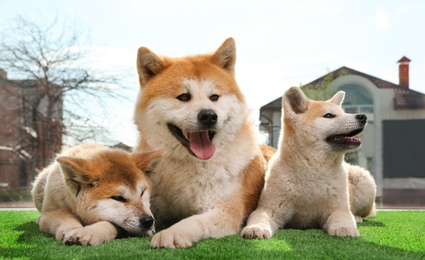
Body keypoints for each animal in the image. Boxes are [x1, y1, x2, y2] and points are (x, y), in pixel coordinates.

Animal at [30, 144, 163, 246]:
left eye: (142, 192)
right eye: (118, 198)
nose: (148, 221)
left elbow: (108, 223)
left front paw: (88, 232)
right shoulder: (51, 211)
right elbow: (63, 215)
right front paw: (72, 228)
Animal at [134, 37, 266, 248]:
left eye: (214, 97)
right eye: (183, 96)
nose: (209, 115)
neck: (189, 164)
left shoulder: (222, 210)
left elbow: (192, 220)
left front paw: (171, 233)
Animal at [240, 87, 376, 240]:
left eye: (343, 112)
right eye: (329, 116)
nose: (363, 117)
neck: (313, 169)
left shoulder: (338, 209)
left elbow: (343, 218)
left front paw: (345, 228)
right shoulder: (269, 209)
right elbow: (260, 218)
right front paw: (256, 228)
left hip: (364, 182)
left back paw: (357, 217)